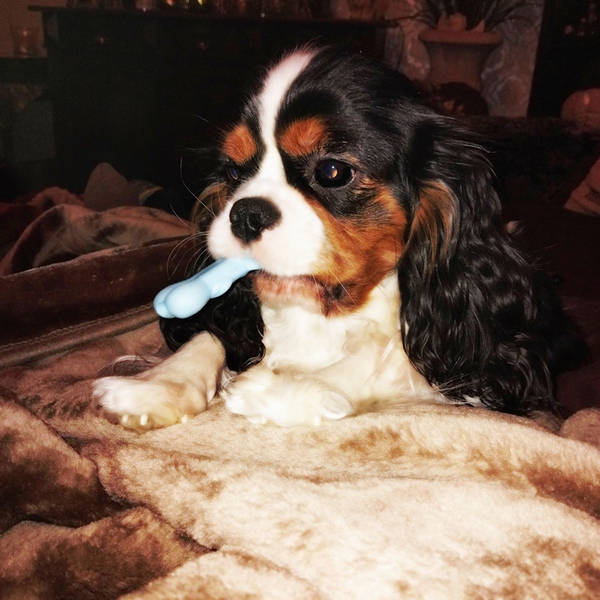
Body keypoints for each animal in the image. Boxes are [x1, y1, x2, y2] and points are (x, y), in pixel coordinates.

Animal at [94, 47, 583, 429]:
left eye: (332, 171)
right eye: (233, 173)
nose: (246, 213)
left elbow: (390, 355)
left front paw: (276, 389)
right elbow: (212, 332)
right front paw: (155, 387)